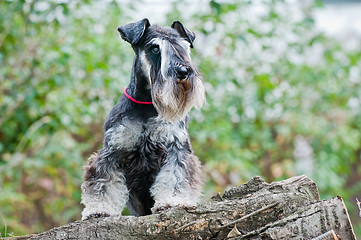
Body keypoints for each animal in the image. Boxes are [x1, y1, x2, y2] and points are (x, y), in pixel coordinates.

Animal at [81, 17, 205, 218]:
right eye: (155, 48)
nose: (183, 72)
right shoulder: (113, 149)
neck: (148, 103)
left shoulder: (176, 147)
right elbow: (103, 181)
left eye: (185, 47)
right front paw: (99, 209)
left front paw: (172, 201)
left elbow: (175, 176)